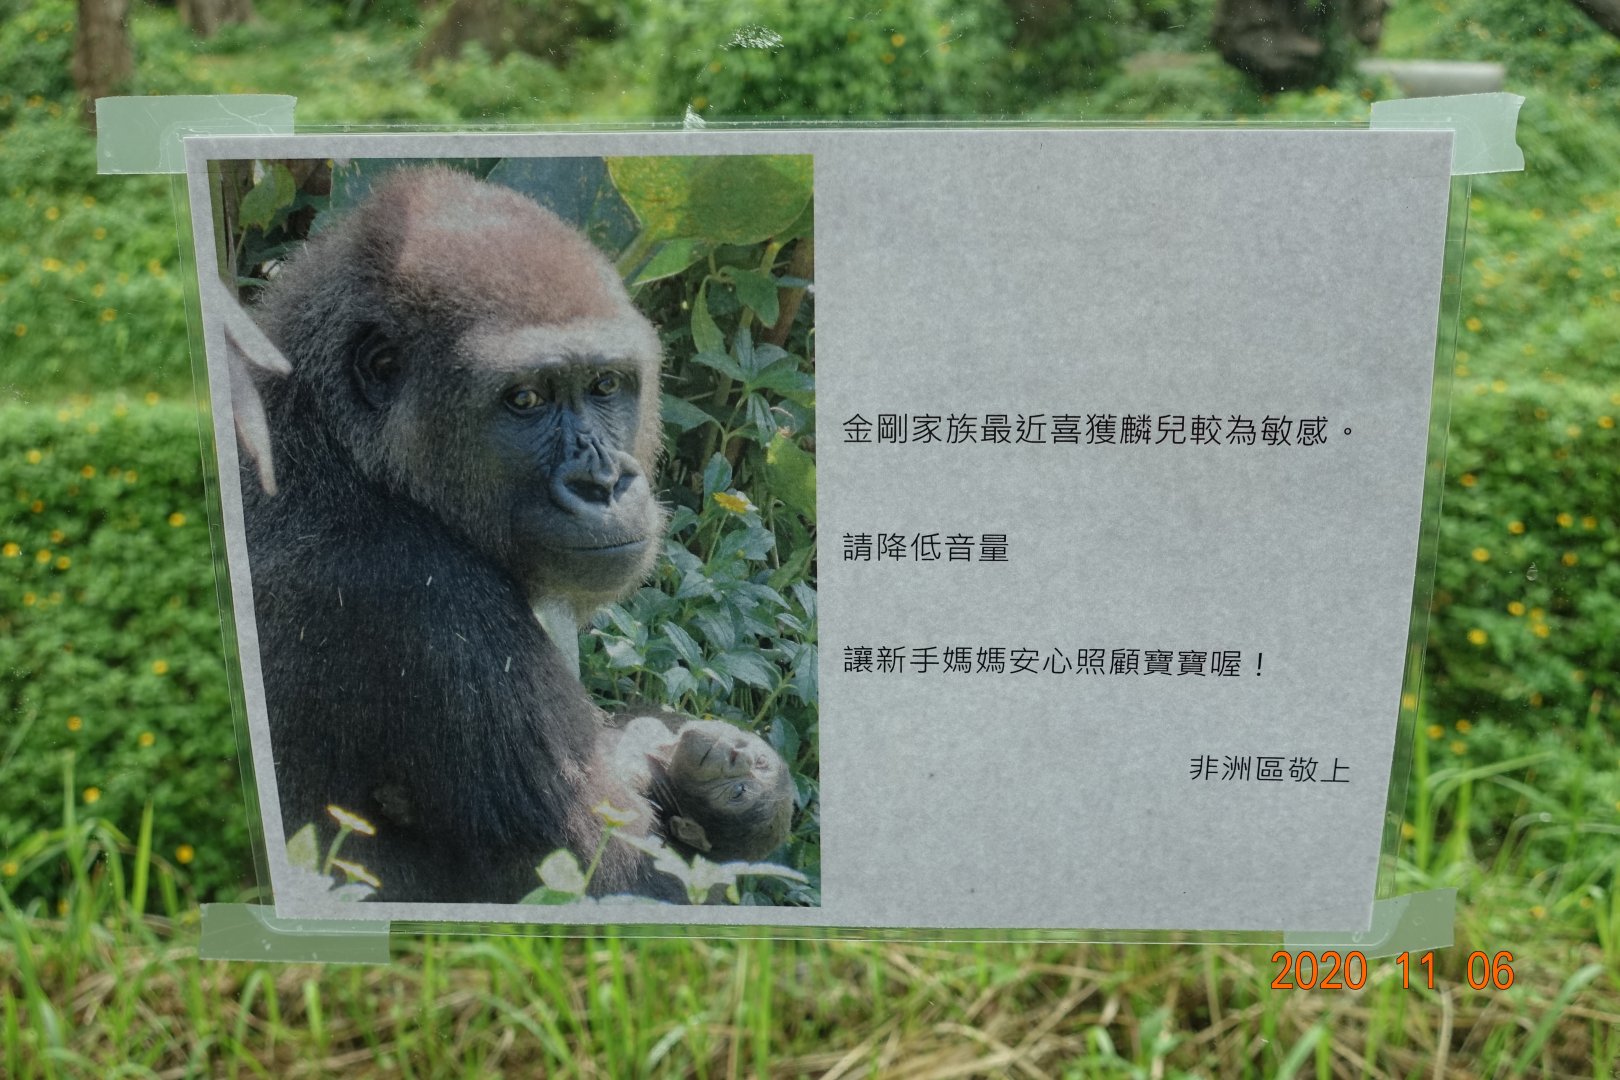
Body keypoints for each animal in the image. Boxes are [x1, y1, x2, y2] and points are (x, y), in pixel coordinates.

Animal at [234, 165, 687, 904]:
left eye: (604, 386)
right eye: (525, 399)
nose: (603, 483)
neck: (336, 443)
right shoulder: (424, 600)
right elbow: (618, 883)